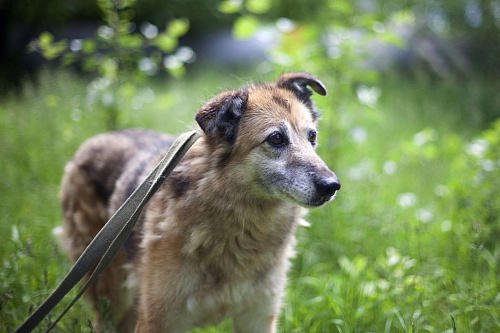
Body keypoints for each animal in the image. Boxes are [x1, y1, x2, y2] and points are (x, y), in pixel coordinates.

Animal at [58, 71, 340, 330]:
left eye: (312, 136)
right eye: (276, 138)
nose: (332, 186)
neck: (239, 231)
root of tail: (97, 139)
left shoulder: (258, 317)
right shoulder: (157, 319)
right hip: (110, 297)